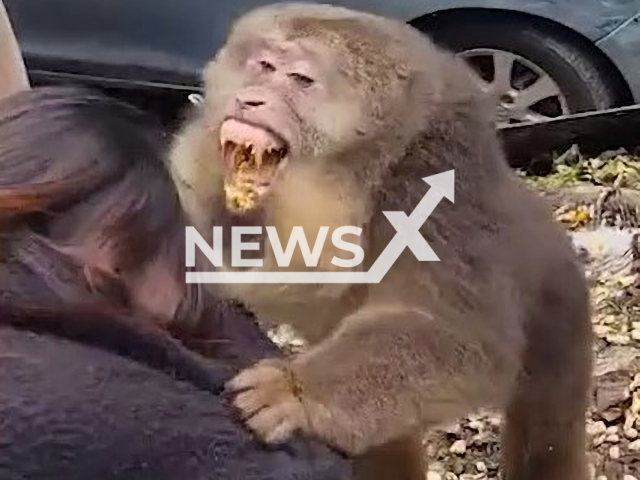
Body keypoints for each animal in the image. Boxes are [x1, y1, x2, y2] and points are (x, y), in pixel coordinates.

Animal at [170, 3, 596, 480]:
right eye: (262, 66)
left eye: (299, 79)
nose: (250, 99)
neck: (357, 178)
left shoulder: (433, 191)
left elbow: (463, 338)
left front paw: (297, 391)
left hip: (558, 308)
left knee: (547, 429)